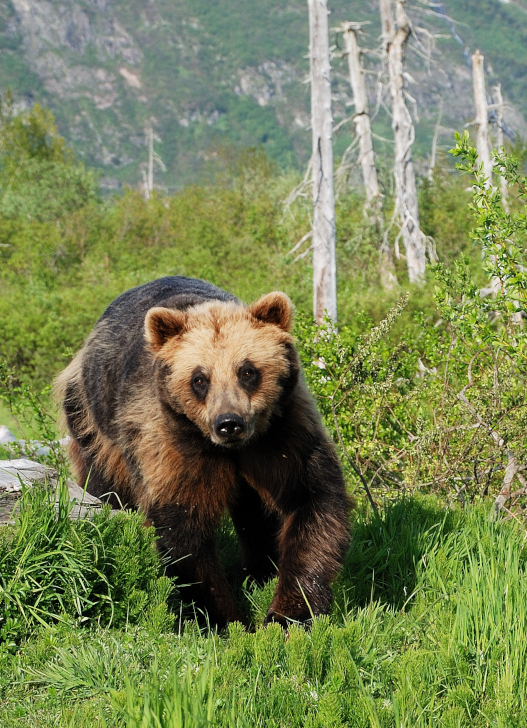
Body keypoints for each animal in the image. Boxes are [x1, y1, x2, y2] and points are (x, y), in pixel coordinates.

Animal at [55, 276, 351, 629]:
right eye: (200, 378)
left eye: (247, 371)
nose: (229, 423)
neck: (232, 450)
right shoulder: (172, 442)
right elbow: (184, 528)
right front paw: (221, 618)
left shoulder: (281, 435)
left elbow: (311, 499)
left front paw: (290, 612)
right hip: (93, 422)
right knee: (105, 487)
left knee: (254, 512)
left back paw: (260, 572)